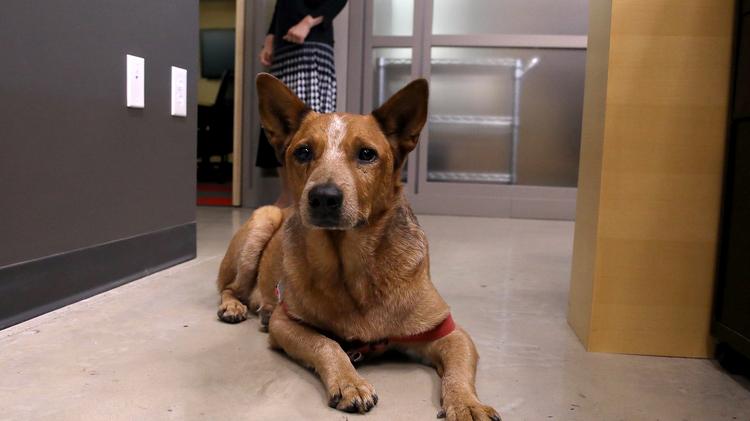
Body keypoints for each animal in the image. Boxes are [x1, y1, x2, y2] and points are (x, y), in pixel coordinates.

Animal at [214, 74, 502, 418]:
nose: (323, 197)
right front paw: (350, 382)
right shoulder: (286, 323)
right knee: (229, 287)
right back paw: (234, 306)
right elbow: (327, 344)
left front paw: (467, 403)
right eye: (303, 152)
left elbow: (458, 371)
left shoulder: (449, 332)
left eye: (366, 154)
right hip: (263, 219)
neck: (351, 269)